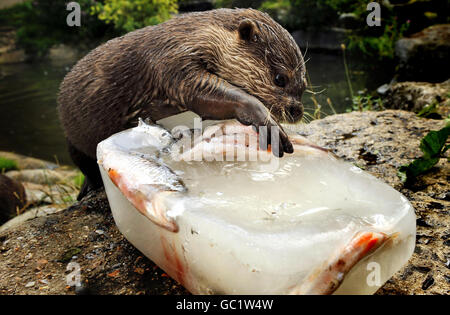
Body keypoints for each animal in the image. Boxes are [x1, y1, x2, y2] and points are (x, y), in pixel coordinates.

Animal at [58, 8, 308, 200]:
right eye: (280, 78)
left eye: (304, 85)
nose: (296, 110)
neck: (196, 36)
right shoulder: (172, 61)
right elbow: (198, 91)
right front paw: (267, 121)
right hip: (72, 139)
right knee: (84, 164)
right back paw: (88, 189)